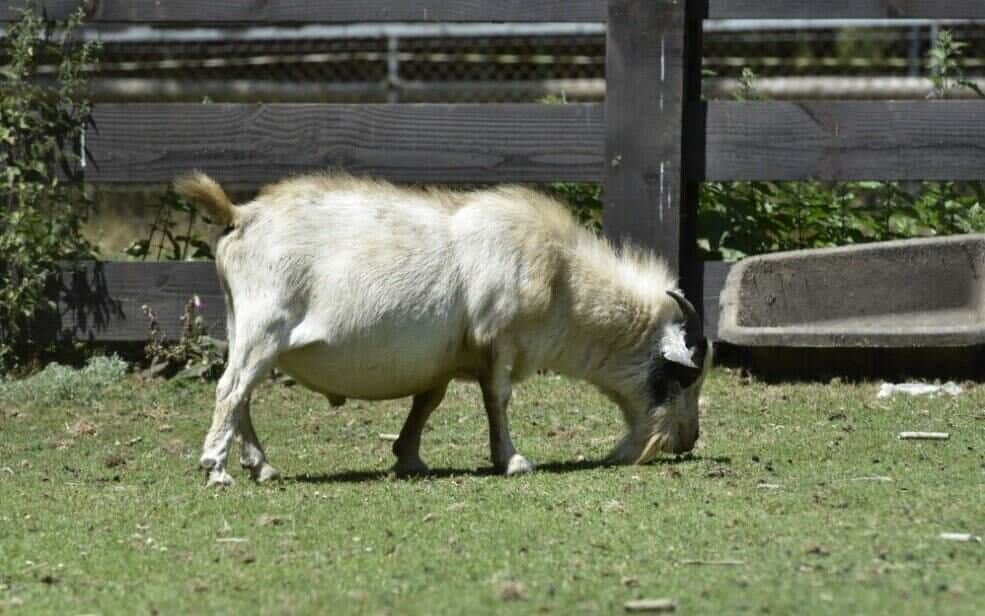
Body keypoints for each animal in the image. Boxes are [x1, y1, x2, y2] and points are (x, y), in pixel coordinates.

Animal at [175, 172, 711, 486]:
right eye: (678, 379)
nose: (688, 441)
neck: (562, 273)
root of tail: (242, 215)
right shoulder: (500, 340)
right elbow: (498, 399)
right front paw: (512, 460)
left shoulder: (446, 357)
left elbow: (427, 401)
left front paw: (409, 458)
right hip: (264, 328)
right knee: (231, 389)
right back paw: (216, 469)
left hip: (243, 327)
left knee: (242, 397)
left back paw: (262, 466)